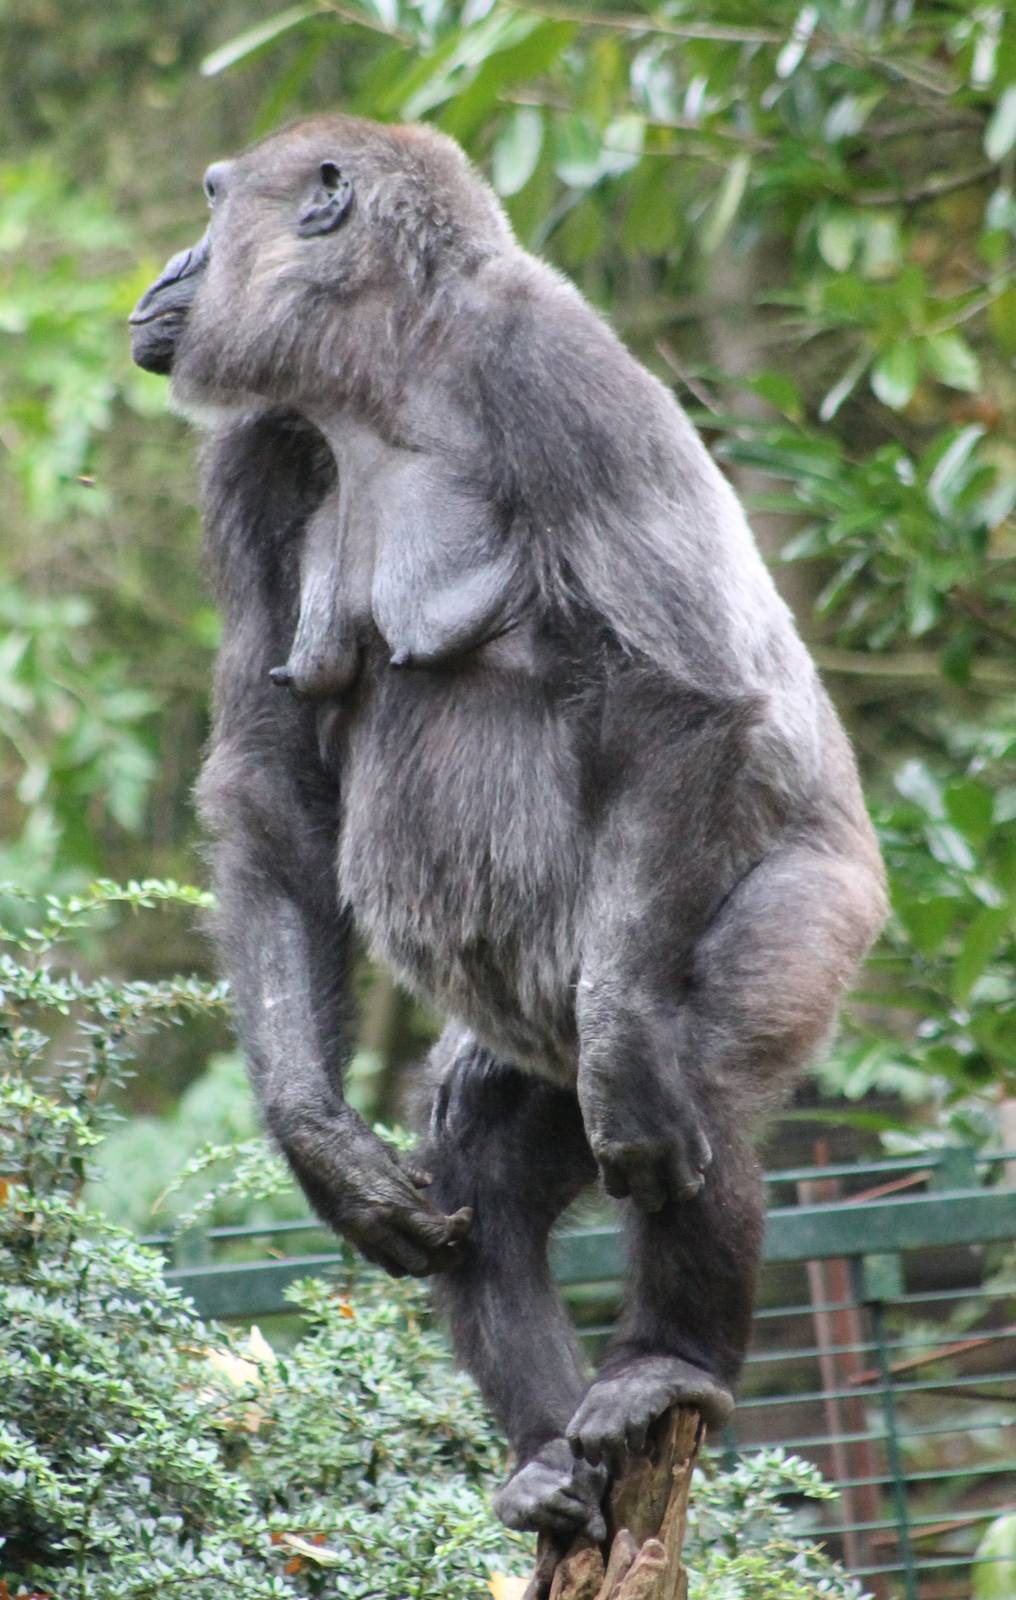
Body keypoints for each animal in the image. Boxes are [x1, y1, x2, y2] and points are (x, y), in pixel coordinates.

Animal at [129, 114, 887, 1547]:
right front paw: (315, 1135)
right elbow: (272, 781)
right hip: (531, 1044)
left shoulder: (551, 367)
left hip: (813, 923)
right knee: (483, 1145)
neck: (384, 373)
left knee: (689, 1079)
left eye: (211, 203)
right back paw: (544, 1447)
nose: (170, 271)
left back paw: (665, 1364)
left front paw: (637, 1073)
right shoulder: (252, 452)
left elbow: (683, 696)